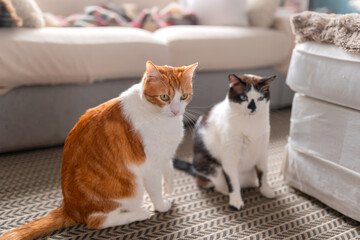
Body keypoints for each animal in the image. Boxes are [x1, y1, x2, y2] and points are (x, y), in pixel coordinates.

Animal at [0, 60, 197, 240]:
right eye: (164, 97)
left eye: (184, 96)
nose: (176, 111)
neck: (164, 119)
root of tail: (69, 206)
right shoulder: (151, 166)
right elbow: (155, 190)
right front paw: (161, 205)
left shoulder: (164, 154)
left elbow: (169, 167)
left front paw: (169, 186)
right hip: (131, 191)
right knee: (96, 221)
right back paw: (139, 213)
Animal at [174, 73, 276, 210]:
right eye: (243, 97)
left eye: (260, 98)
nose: (252, 107)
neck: (250, 123)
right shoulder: (230, 156)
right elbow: (233, 181)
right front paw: (236, 201)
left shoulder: (262, 151)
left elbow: (263, 173)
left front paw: (265, 190)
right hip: (211, 167)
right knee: (211, 183)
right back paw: (225, 191)